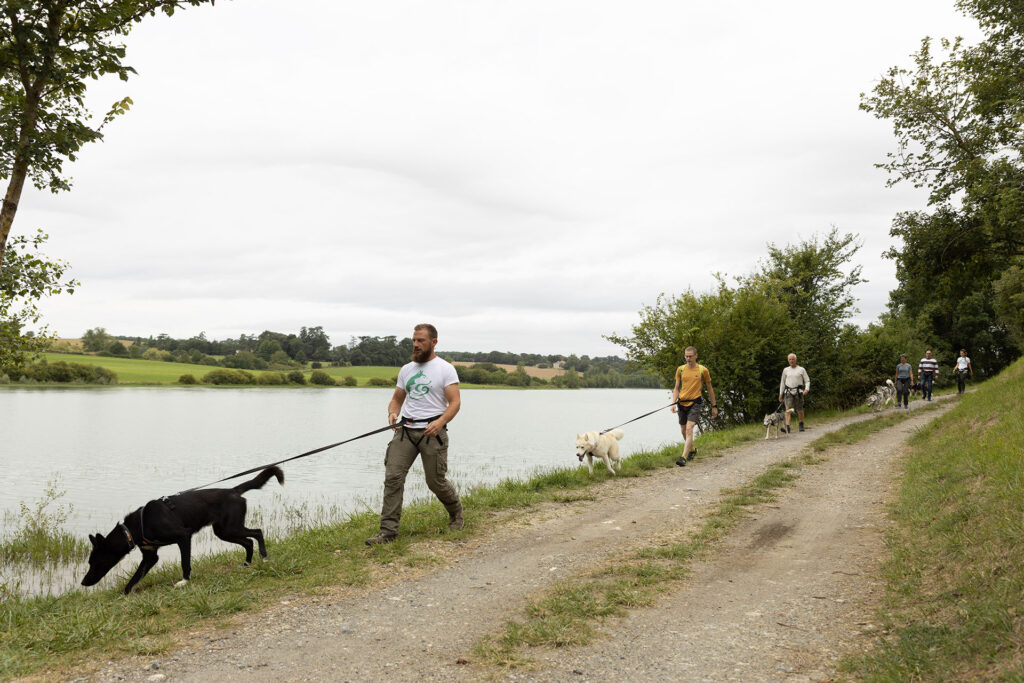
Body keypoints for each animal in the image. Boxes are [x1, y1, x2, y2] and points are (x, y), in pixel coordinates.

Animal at [79, 464, 284, 593]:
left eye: (95, 562)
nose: (83, 582)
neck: (133, 529)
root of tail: (233, 491)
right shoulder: (150, 556)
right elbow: (135, 577)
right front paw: (126, 594)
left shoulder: (183, 537)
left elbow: (185, 563)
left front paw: (184, 582)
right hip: (223, 531)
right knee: (248, 541)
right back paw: (247, 564)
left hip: (230, 528)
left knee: (257, 532)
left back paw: (264, 557)